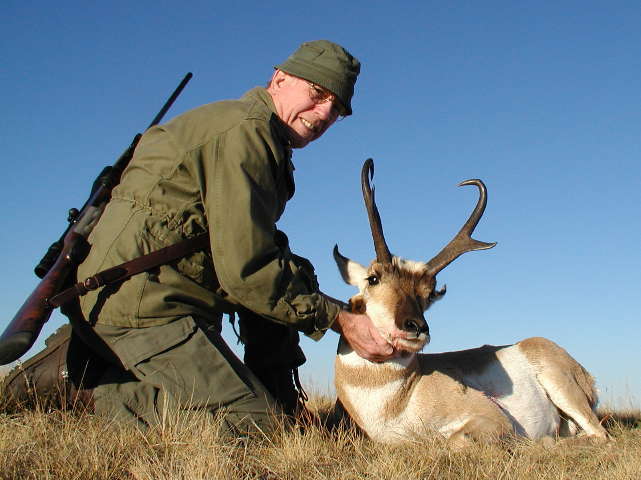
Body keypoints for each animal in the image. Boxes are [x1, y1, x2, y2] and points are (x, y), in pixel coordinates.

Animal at [332, 159, 608, 448]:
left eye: (428, 295)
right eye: (373, 279)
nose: (417, 327)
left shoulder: (492, 417)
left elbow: (456, 440)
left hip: (562, 387)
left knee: (600, 435)